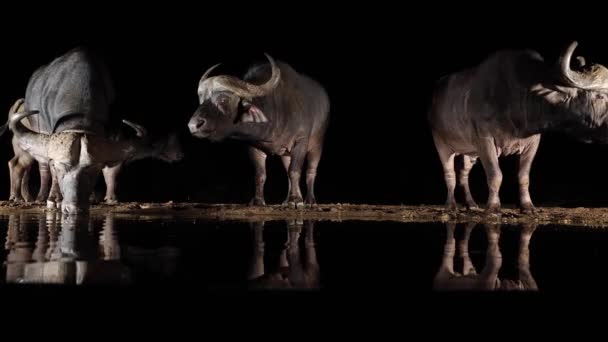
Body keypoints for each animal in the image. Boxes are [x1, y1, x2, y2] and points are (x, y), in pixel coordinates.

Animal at [188, 54, 330, 208]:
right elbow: (260, 174)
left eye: (223, 100)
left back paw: (310, 200)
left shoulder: (301, 141)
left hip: (317, 145)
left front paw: (296, 200)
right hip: (286, 153)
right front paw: (258, 200)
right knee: (287, 172)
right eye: (201, 99)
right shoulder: (254, 146)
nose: (193, 125)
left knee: (311, 171)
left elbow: (295, 171)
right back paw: (287, 200)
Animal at [430, 41, 608, 212]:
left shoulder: (532, 143)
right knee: (450, 174)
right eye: (599, 96)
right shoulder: (485, 140)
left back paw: (471, 204)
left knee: (463, 174)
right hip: (442, 144)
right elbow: (495, 175)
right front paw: (493, 207)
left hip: (470, 152)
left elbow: (523, 176)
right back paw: (451, 205)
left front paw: (527, 206)